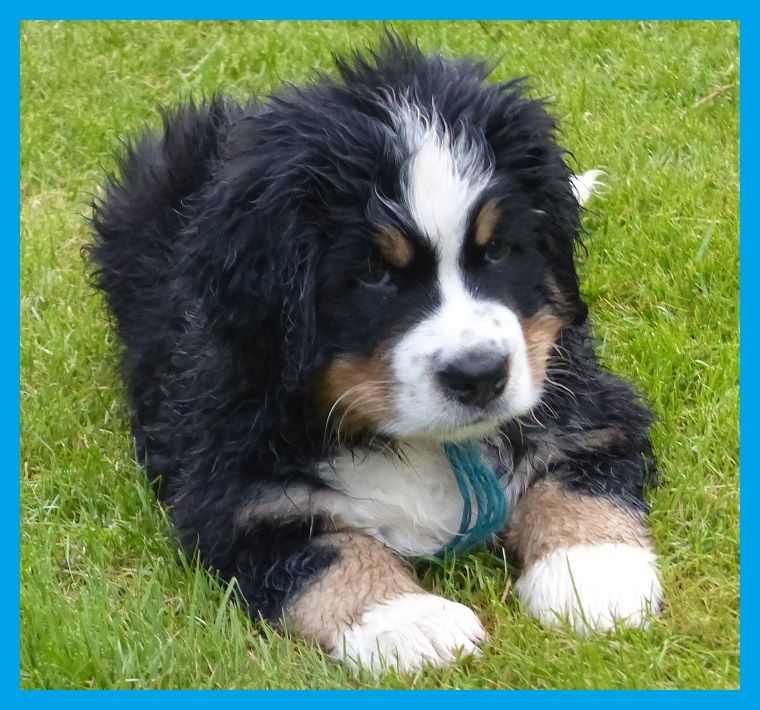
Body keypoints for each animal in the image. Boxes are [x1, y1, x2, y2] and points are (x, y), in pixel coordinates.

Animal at [87, 37, 663, 674]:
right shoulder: (235, 496)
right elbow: (333, 554)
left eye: (498, 251)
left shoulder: (586, 403)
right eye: (373, 273)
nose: (480, 376)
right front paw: (407, 621)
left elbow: (577, 483)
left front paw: (594, 577)